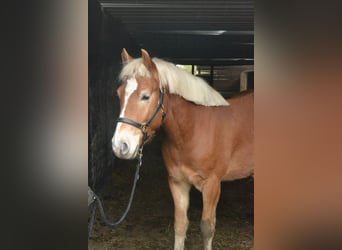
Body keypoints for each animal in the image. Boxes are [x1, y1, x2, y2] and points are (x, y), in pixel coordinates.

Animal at [112, 47, 254, 249]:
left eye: (145, 96)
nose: (120, 146)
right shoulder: (177, 183)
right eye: (119, 94)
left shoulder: (212, 186)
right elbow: (180, 225)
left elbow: (207, 227)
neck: (192, 130)